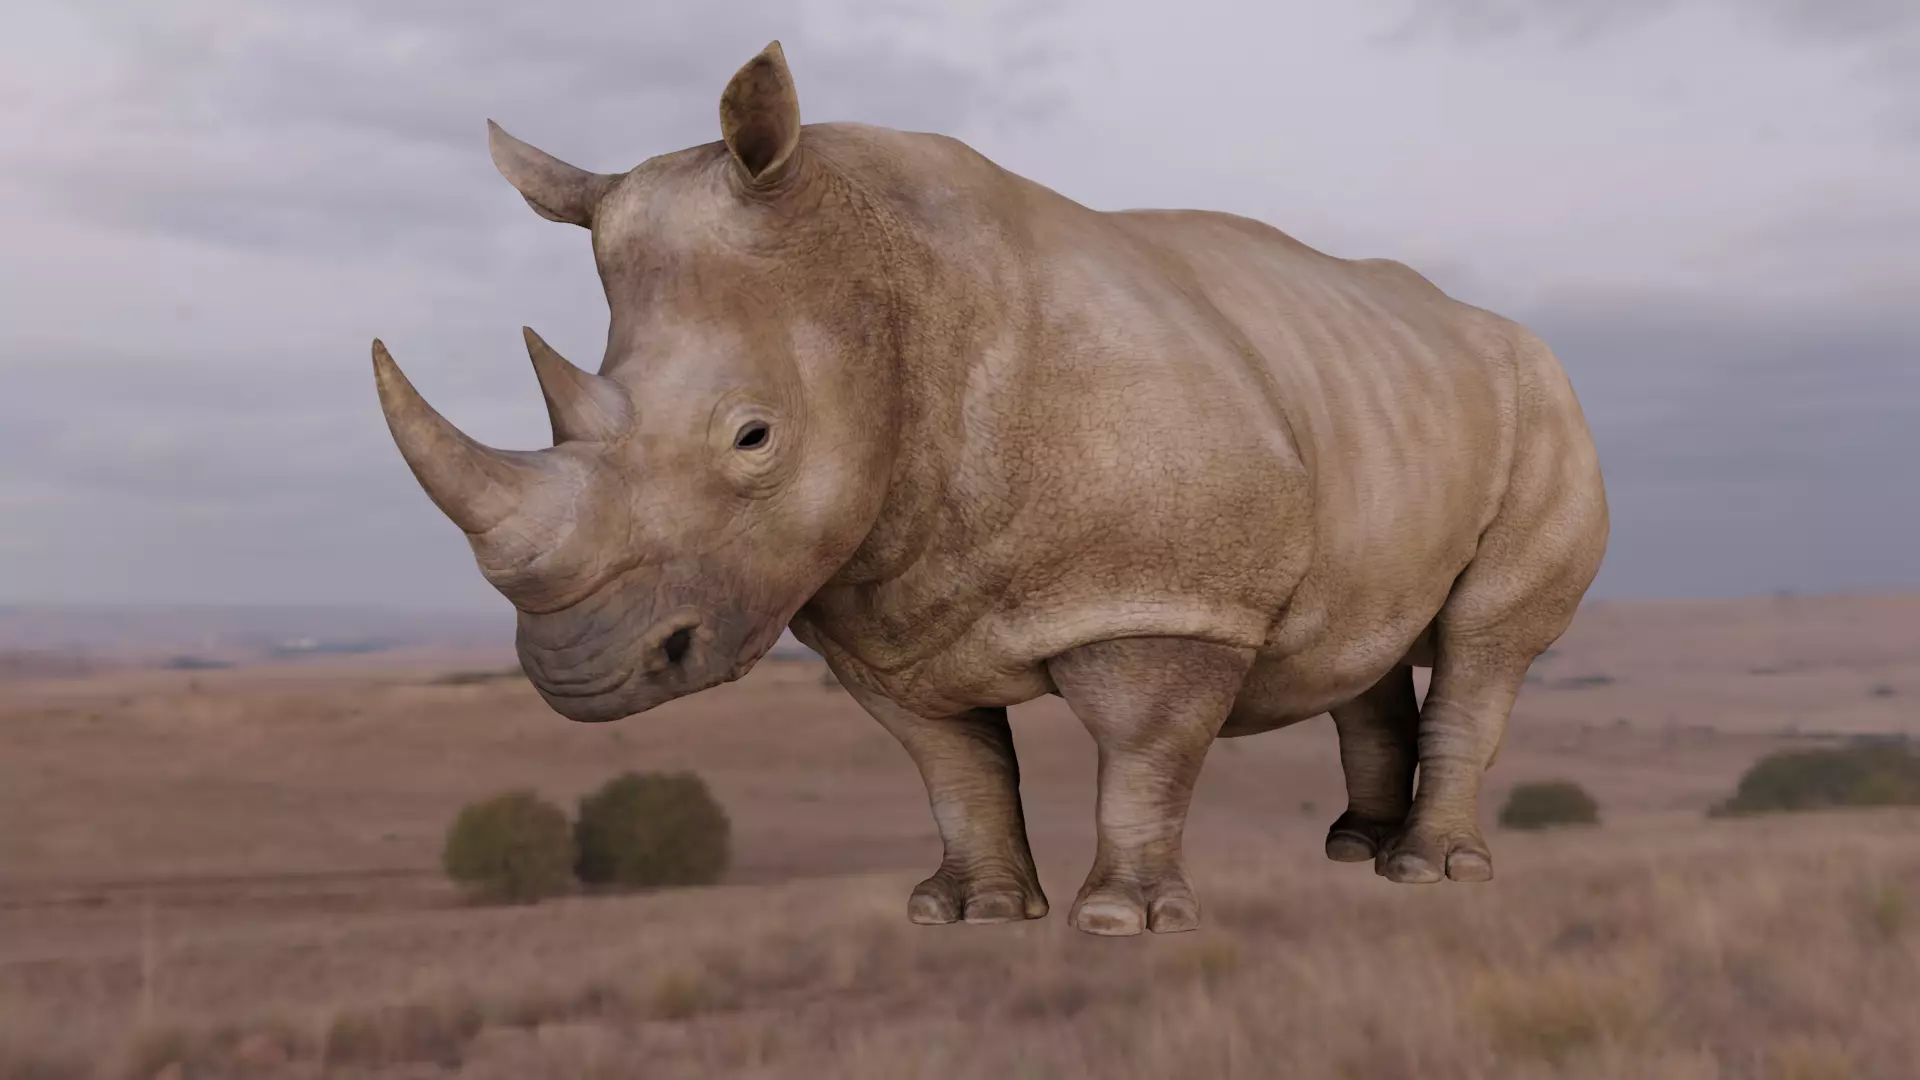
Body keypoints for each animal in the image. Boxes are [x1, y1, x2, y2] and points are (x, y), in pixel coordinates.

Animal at [372, 41, 1609, 936]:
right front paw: (970, 913)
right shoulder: (880, 615)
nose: (579, 675)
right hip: (1373, 394)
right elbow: (952, 764)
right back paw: (1354, 850)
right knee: (1365, 626)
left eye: (755, 439)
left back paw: (1426, 874)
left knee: (1486, 636)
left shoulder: (1165, 596)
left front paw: (1120, 923)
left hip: (1544, 399)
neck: (889, 282)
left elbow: (1145, 751)